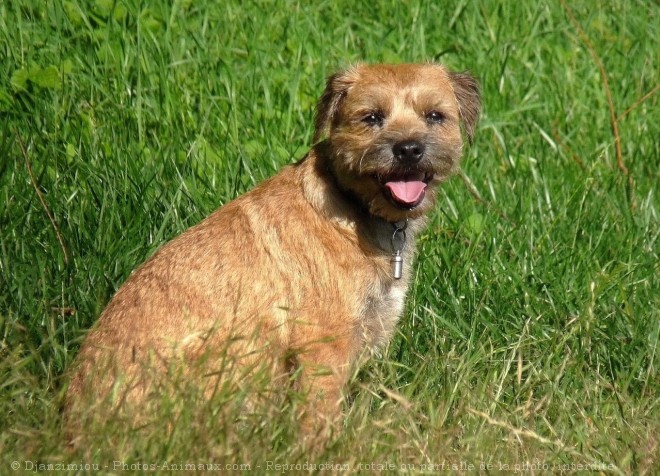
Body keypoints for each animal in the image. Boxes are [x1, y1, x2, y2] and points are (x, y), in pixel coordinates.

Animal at [65, 63, 480, 438]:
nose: (408, 149)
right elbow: (319, 414)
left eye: (434, 115)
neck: (353, 207)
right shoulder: (323, 342)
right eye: (371, 117)